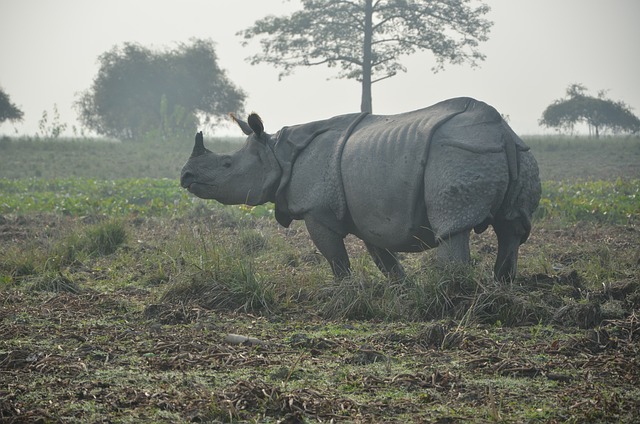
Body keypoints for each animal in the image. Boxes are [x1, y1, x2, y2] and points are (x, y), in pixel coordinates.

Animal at [180, 97, 541, 281]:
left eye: (227, 165)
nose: (185, 176)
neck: (277, 152)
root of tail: (502, 133)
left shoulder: (316, 210)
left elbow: (336, 258)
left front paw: (343, 292)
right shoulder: (369, 214)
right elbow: (383, 257)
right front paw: (401, 291)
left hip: (458, 153)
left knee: (453, 226)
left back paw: (454, 291)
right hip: (516, 155)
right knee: (513, 229)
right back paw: (502, 288)